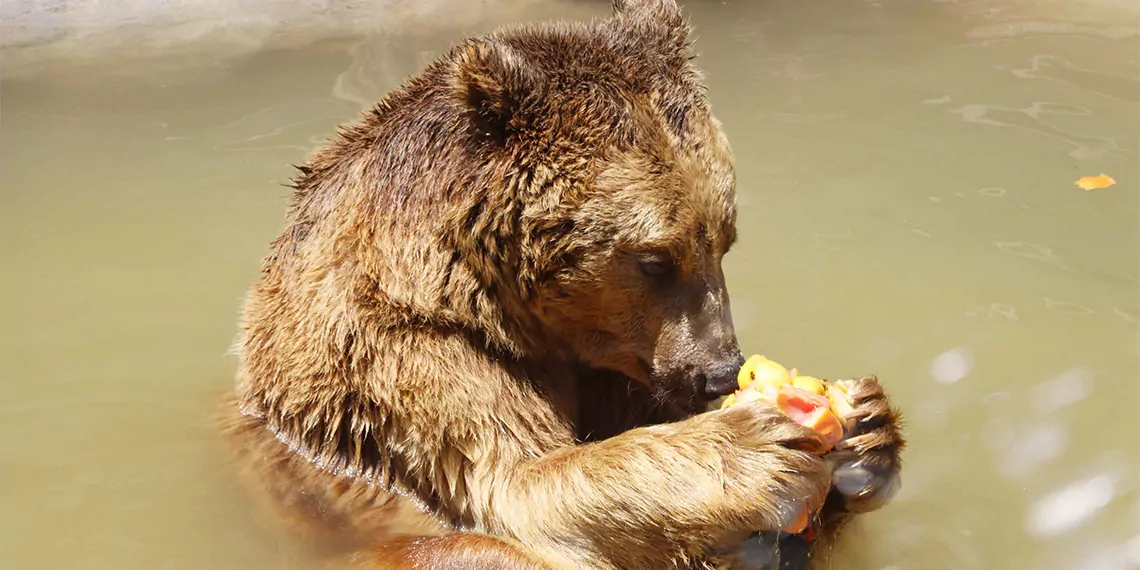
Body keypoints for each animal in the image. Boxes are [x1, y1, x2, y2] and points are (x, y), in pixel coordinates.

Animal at [220, 1, 898, 570]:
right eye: (656, 259)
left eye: (723, 240)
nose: (719, 370)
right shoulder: (404, 370)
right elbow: (519, 487)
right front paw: (758, 446)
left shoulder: (620, 369)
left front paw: (867, 426)